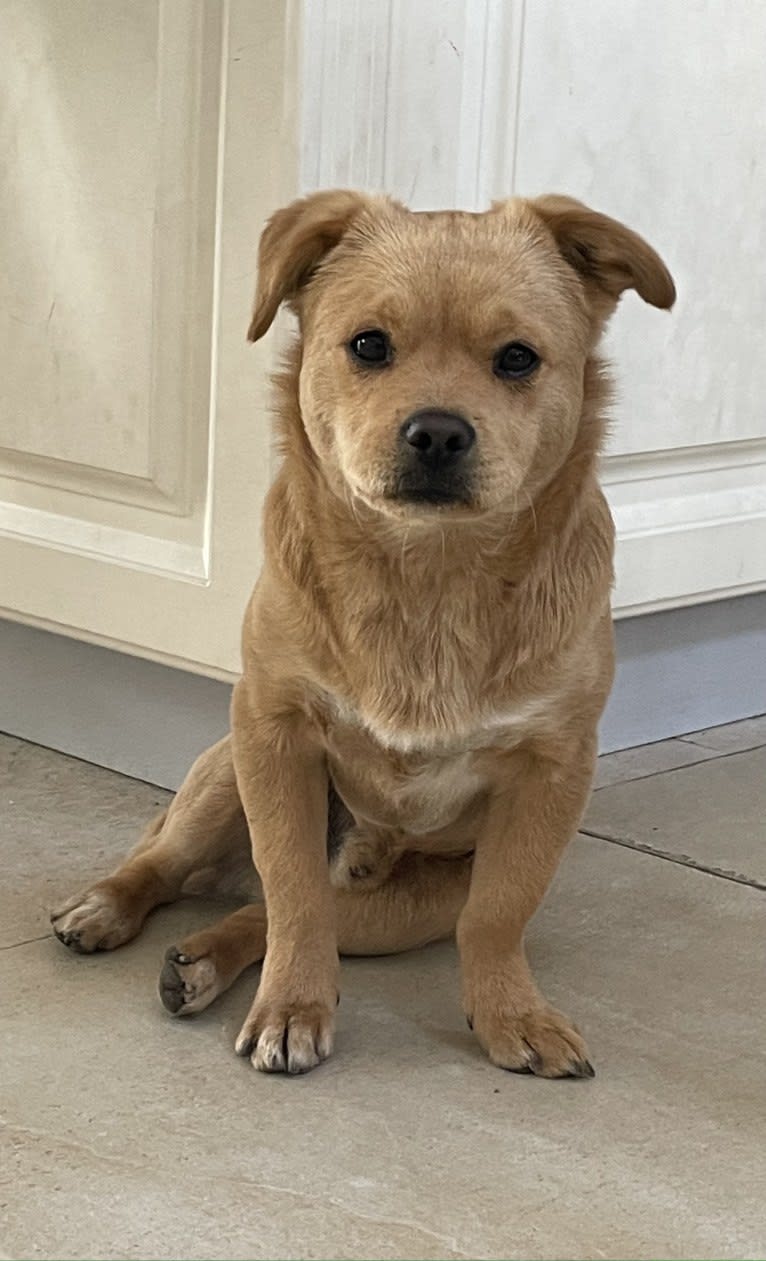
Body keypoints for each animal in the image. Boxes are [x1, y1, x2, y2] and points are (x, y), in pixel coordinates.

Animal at [51, 191, 676, 1079]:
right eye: (369, 345)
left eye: (518, 358)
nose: (439, 432)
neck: (427, 579)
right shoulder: (271, 728)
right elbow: (294, 889)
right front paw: (291, 1007)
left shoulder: (553, 769)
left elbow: (498, 914)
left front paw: (511, 1013)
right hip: (223, 775)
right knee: (180, 868)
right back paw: (107, 907)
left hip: (407, 909)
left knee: (275, 915)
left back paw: (201, 960)